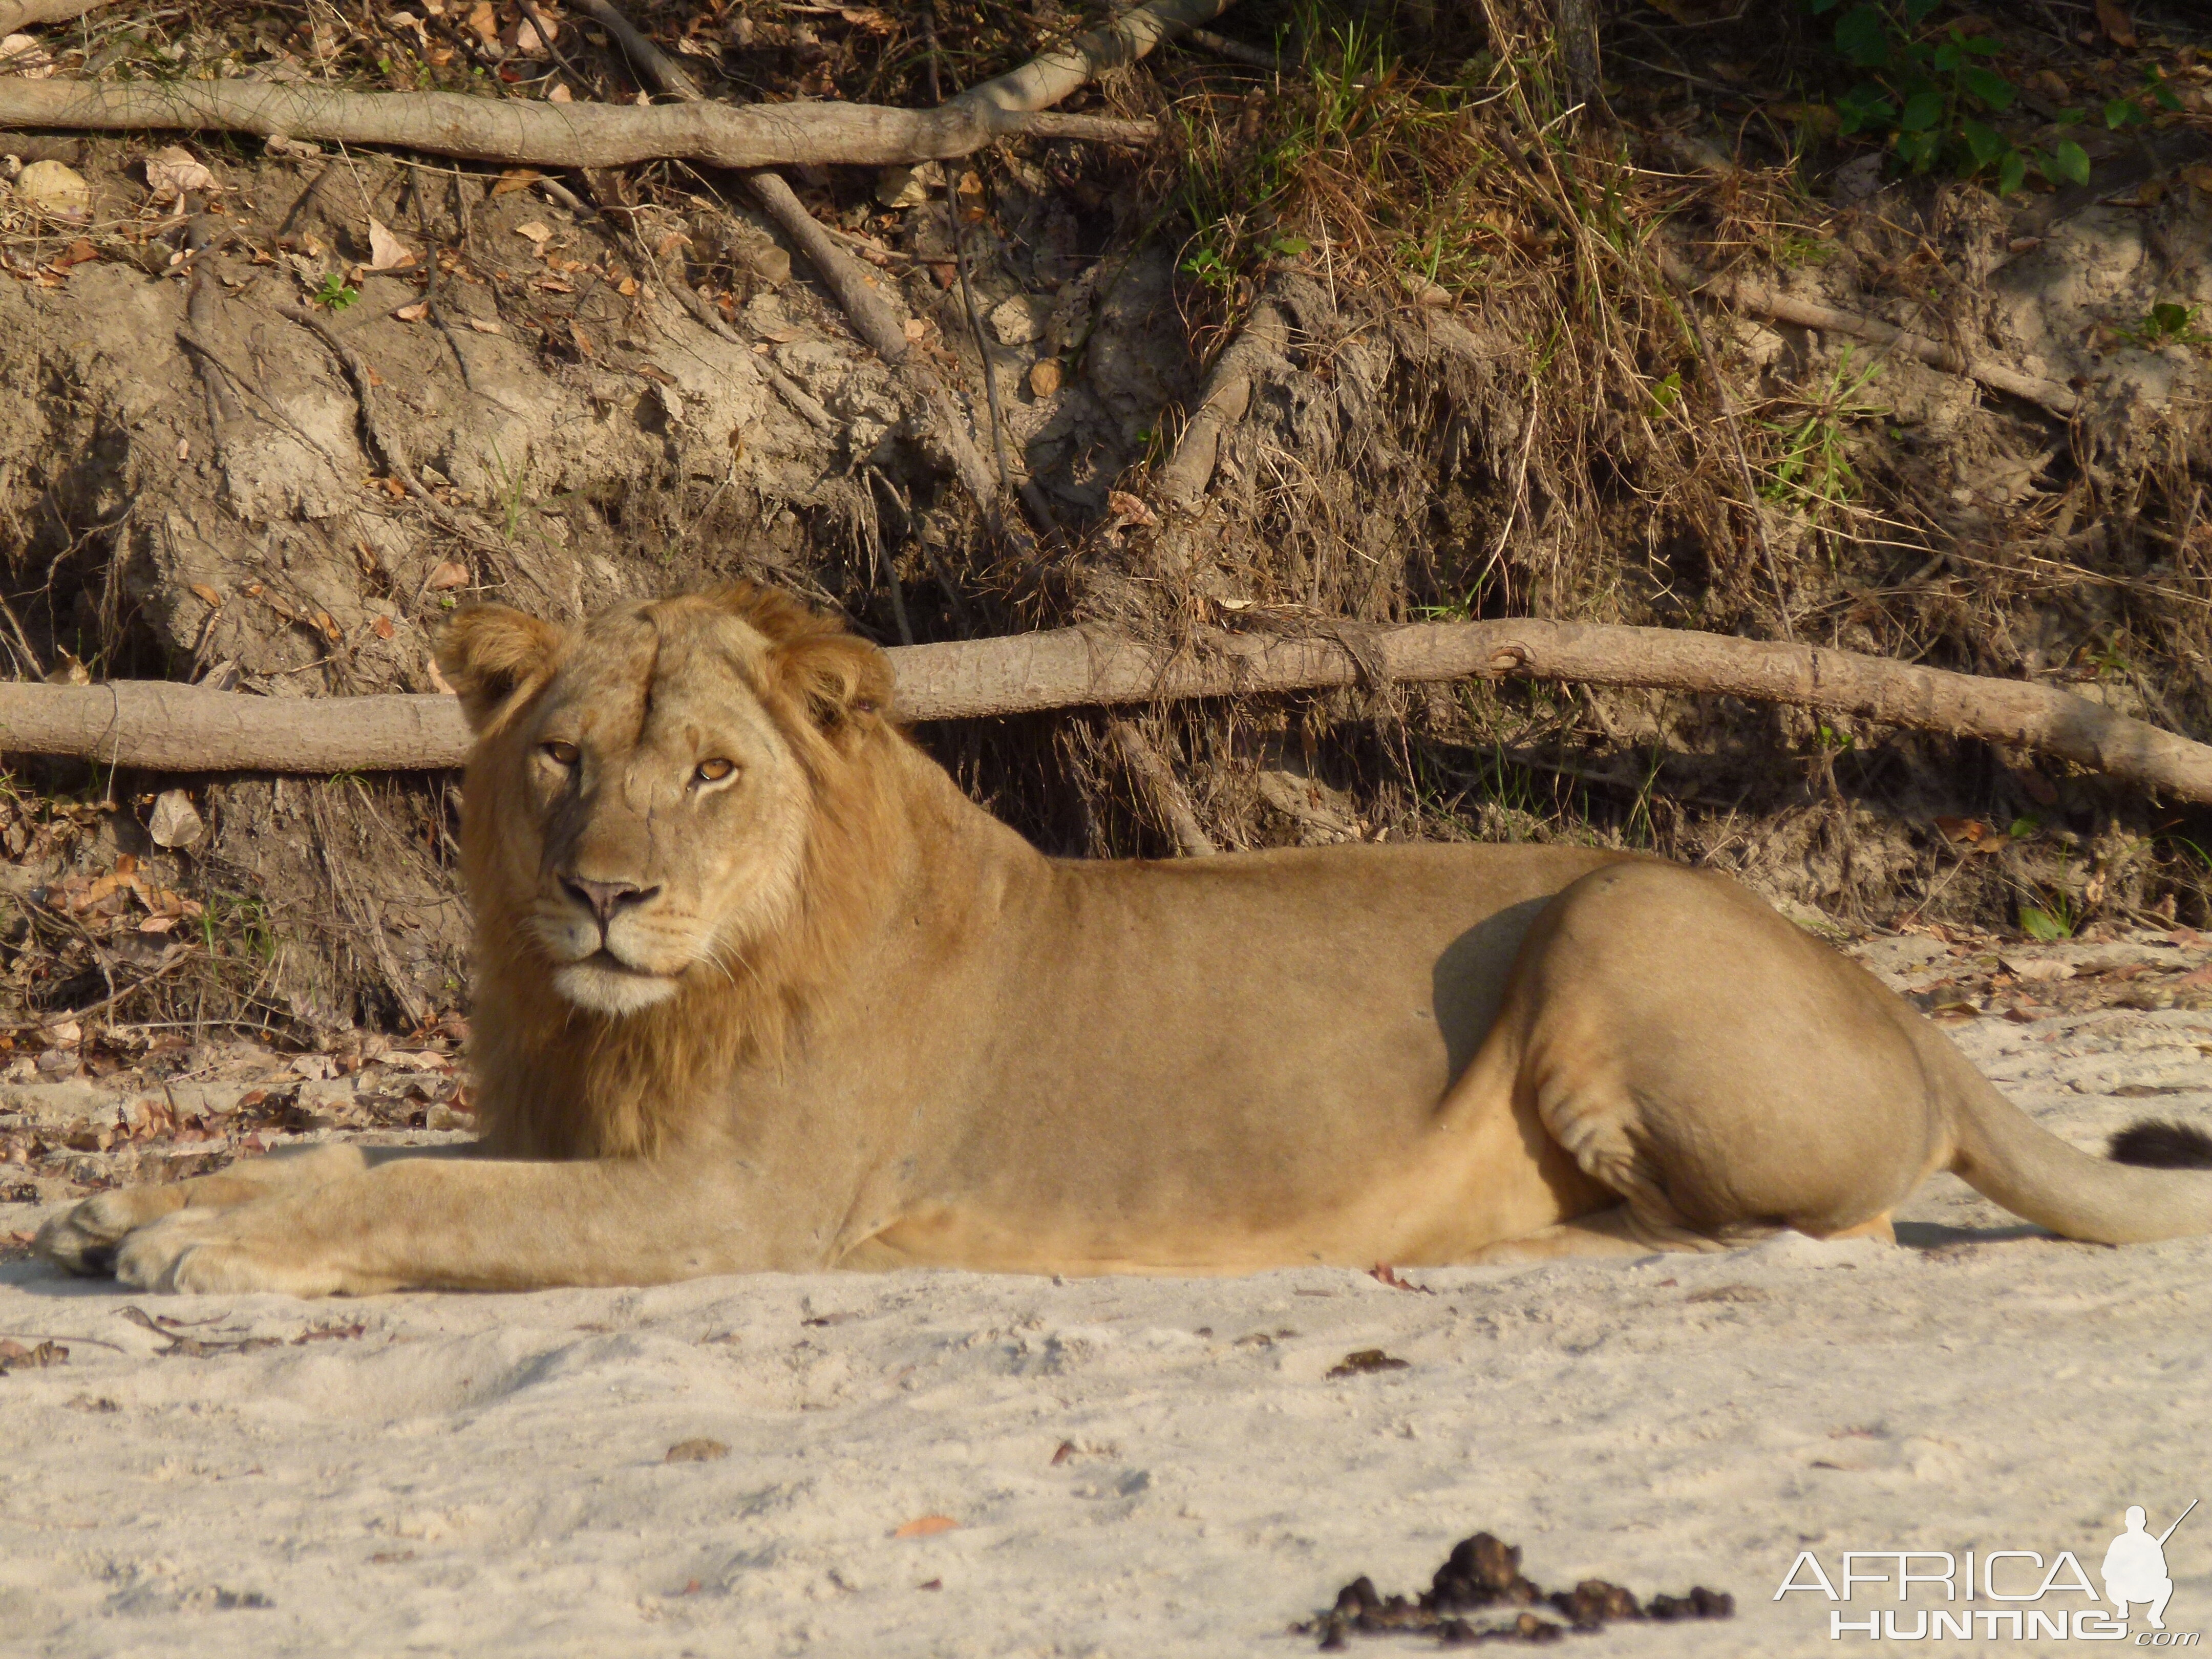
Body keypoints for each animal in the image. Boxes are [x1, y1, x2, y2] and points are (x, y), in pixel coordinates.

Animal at [34, 584, 2212, 1301]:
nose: (603, 893)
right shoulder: (580, 1136)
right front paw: (135, 1203)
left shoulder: (731, 1205)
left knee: (1824, 1221)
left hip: (1620, 911)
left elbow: (426, 1199)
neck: (619, 1018)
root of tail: (1907, 1006)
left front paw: (195, 1242)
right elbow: (376, 1150)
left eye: (713, 774)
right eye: (559, 760)